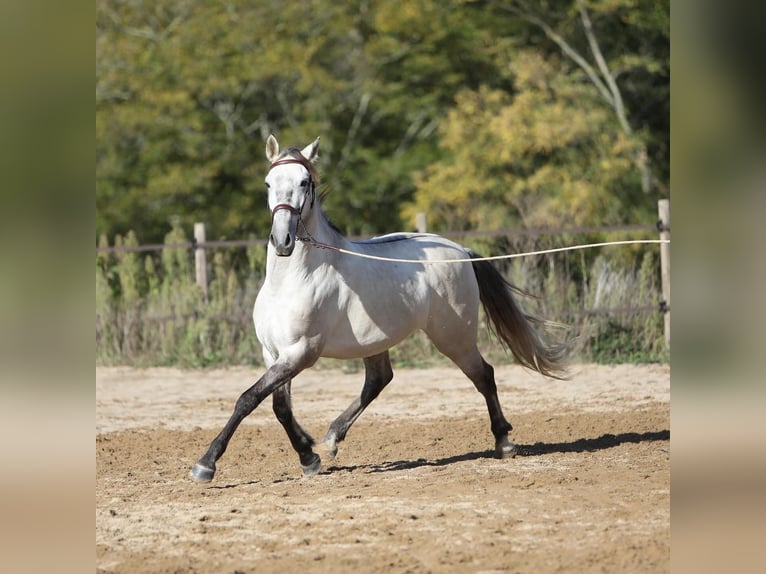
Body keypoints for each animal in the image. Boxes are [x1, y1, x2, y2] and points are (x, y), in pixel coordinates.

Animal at [189, 137, 568, 484]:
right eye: (269, 183)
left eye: (305, 182)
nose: (283, 241)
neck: (292, 280)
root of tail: (459, 249)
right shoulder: (274, 353)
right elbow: (279, 407)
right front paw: (309, 455)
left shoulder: (301, 353)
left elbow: (248, 398)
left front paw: (206, 464)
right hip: (376, 342)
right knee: (378, 380)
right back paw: (331, 438)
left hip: (454, 337)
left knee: (484, 375)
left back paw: (504, 441)